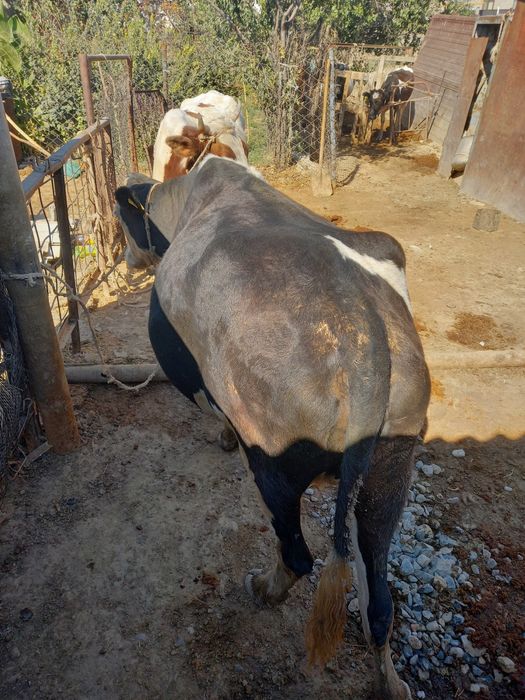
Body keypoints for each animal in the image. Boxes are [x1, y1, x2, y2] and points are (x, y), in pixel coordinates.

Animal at [114, 157, 430, 699]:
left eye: (124, 225)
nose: (126, 260)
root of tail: (362, 335)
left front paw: (221, 435)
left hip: (273, 462)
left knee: (299, 554)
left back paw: (264, 587)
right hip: (391, 469)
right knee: (379, 602)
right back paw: (390, 683)